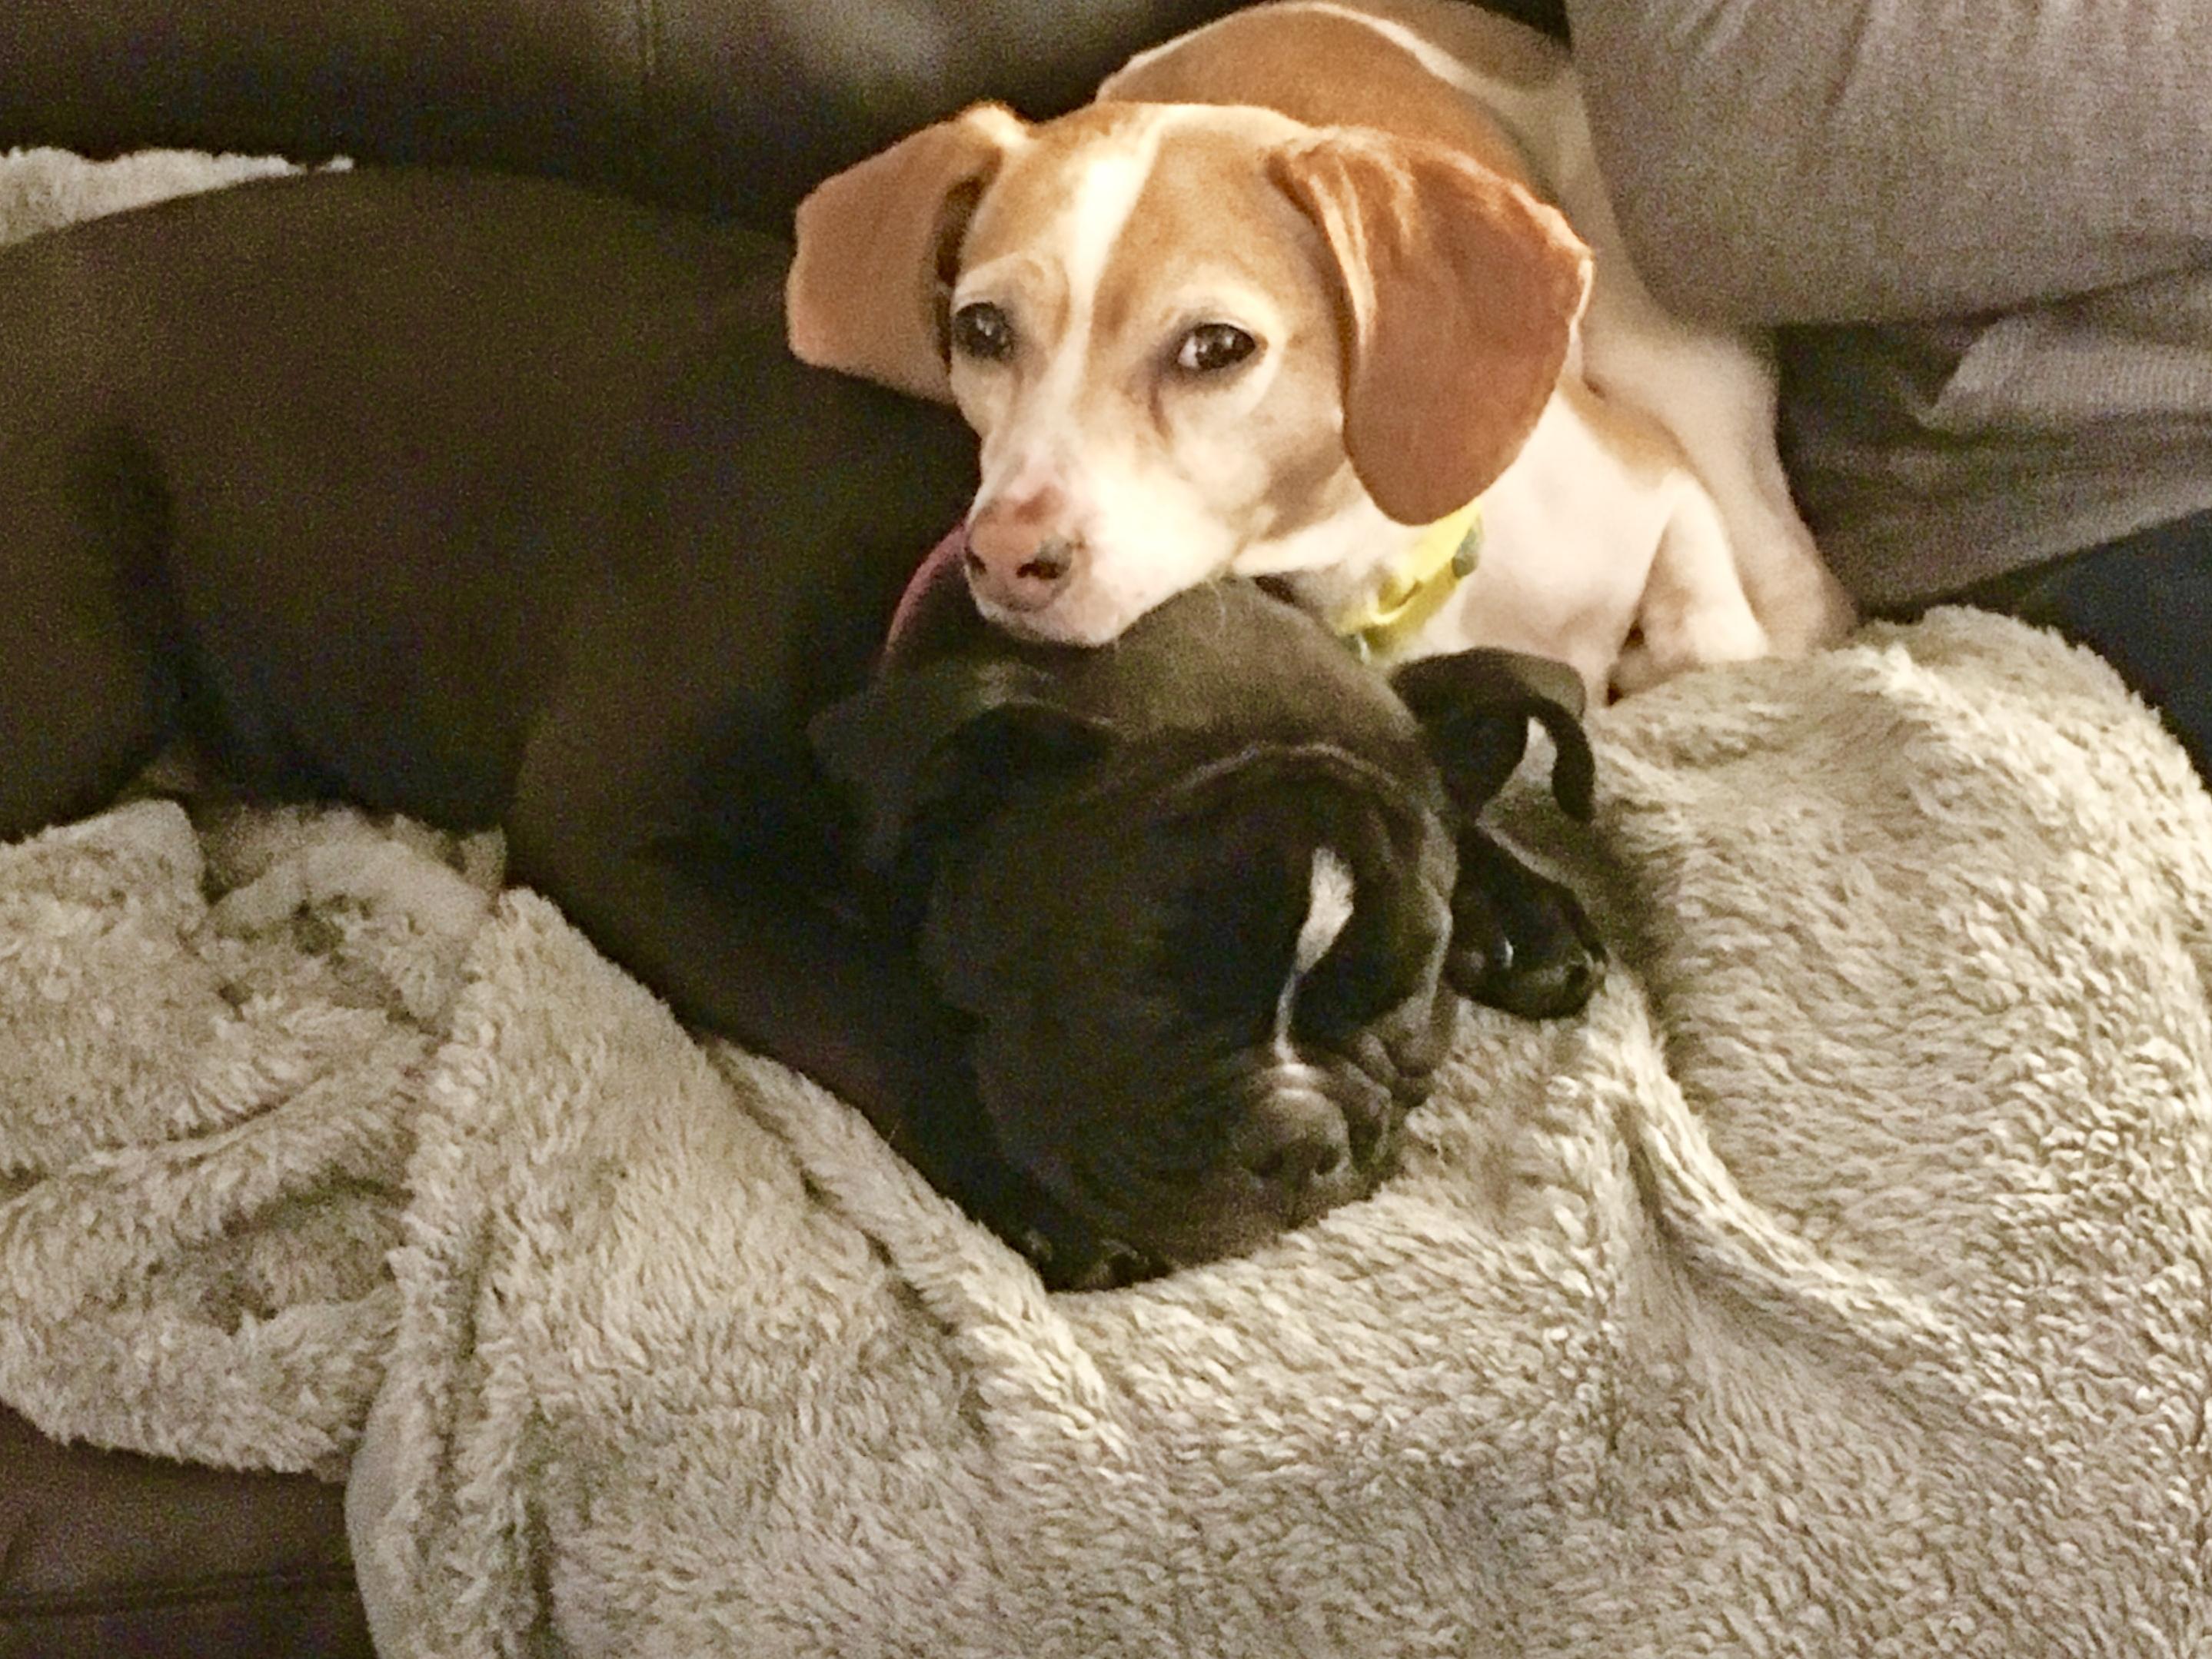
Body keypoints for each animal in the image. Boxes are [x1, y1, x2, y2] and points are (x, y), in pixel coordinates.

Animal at [0, 165, 1601, 1282]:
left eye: (1403, 993)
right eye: (1142, 981)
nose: (1298, 1137)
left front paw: (1523, 900)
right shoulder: (630, 844)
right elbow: (870, 996)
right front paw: (1019, 1183)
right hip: (84, 676)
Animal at [787, 0, 1858, 703]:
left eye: (1217, 345)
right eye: (981, 331)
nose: (1006, 558)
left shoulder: (1655, 476)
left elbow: (1709, 640)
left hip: (1666, 360)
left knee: (1797, 579)